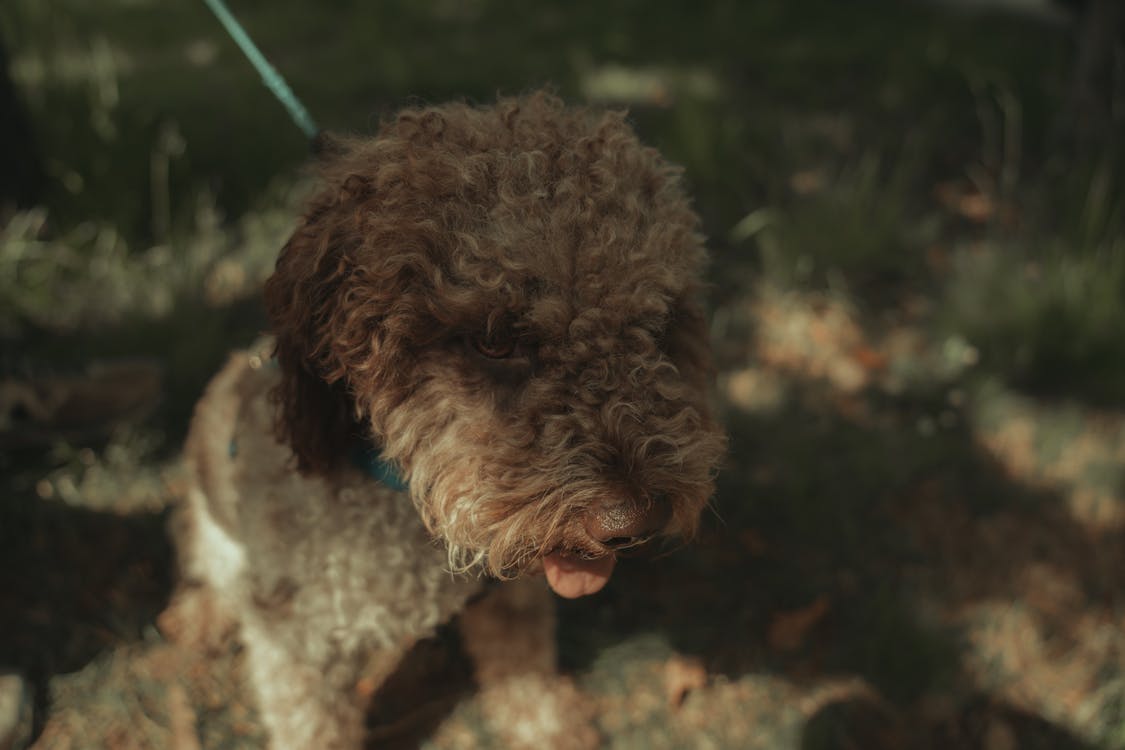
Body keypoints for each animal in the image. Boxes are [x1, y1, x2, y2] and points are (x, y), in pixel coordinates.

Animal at [164, 91, 729, 746]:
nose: (632, 522)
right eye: (492, 341)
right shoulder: (299, 647)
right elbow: (311, 723)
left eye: (656, 324)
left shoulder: (511, 591)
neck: (401, 503)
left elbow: (523, 671)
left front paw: (548, 730)